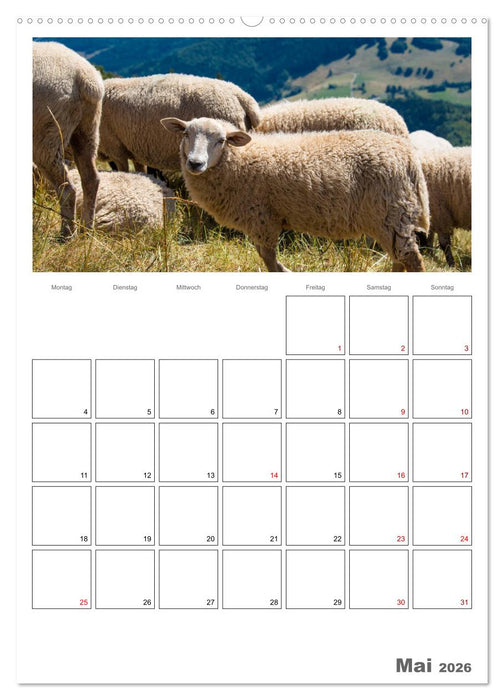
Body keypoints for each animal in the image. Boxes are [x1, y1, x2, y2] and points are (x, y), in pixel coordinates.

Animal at [33, 41, 104, 239]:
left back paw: (67, 233)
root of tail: (84, 78)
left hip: (47, 132)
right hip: (87, 129)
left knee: (67, 189)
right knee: (91, 179)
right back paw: (87, 229)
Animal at [161, 117, 428, 272]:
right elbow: (265, 257)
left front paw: (285, 272)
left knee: (411, 259)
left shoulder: (263, 218)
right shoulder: (261, 221)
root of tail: (407, 155)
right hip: (389, 218)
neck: (240, 160)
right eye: (186, 134)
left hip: (390, 214)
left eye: (221, 140)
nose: (195, 163)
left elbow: (268, 259)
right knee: (399, 259)